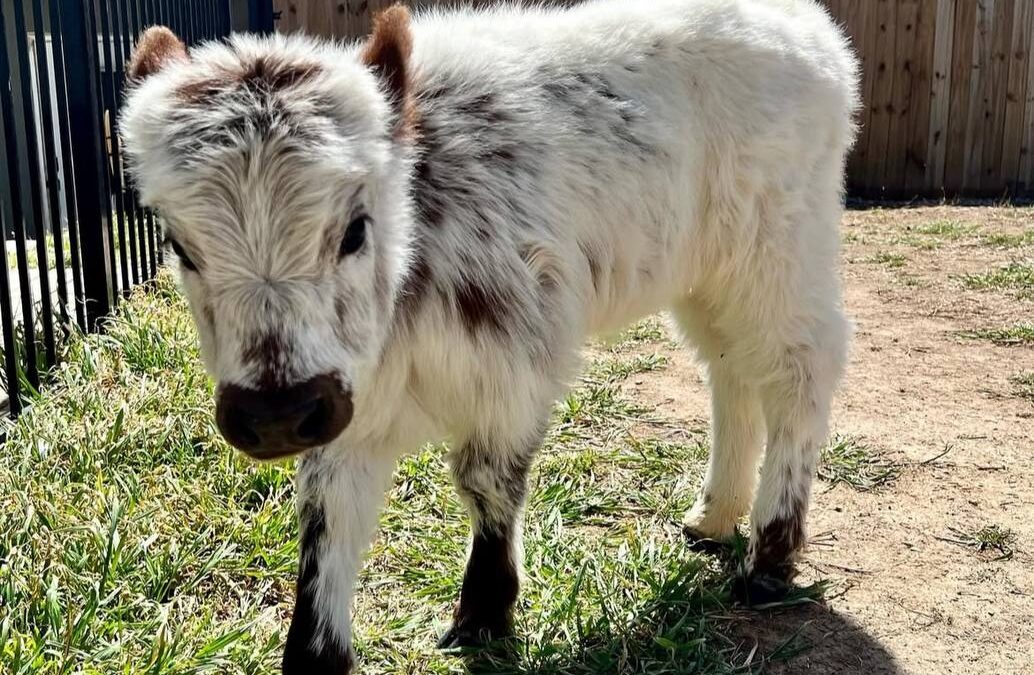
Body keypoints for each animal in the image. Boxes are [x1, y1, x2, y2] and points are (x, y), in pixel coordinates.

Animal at [120, 1, 858, 671]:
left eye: (356, 228)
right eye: (179, 245)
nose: (275, 415)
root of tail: (809, 27)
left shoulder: (515, 361)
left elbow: (488, 480)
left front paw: (483, 615)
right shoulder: (345, 400)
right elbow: (327, 516)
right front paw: (317, 649)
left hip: (779, 251)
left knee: (798, 369)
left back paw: (770, 557)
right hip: (705, 274)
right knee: (731, 369)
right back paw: (714, 516)